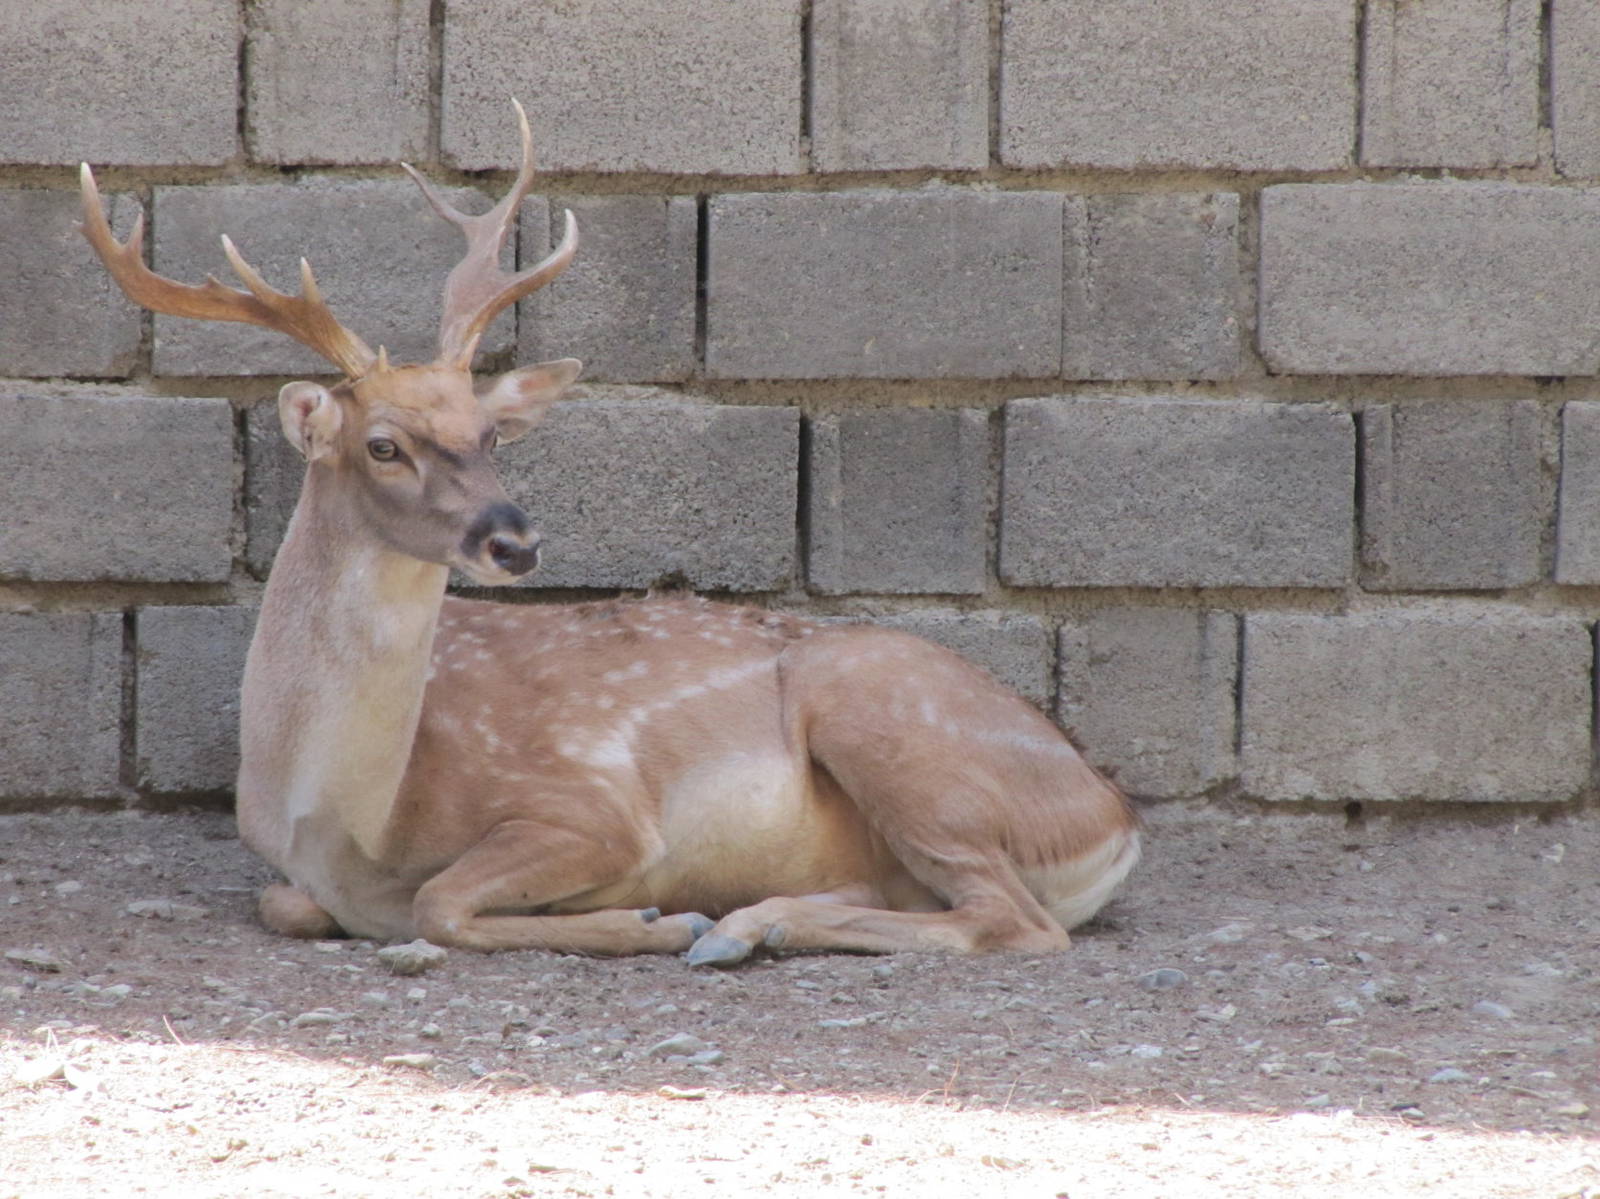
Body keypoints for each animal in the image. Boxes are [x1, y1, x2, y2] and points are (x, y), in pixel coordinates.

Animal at [77, 102, 1139, 966]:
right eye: (383, 444)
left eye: (490, 432)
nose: (517, 542)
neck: (343, 817)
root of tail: (1113, 818)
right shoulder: (292, 873)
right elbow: (291, 905)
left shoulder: (593, 806)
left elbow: (439, 901)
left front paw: (654, 919)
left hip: (891, 722)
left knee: (1011, 920)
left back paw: (739, 925)